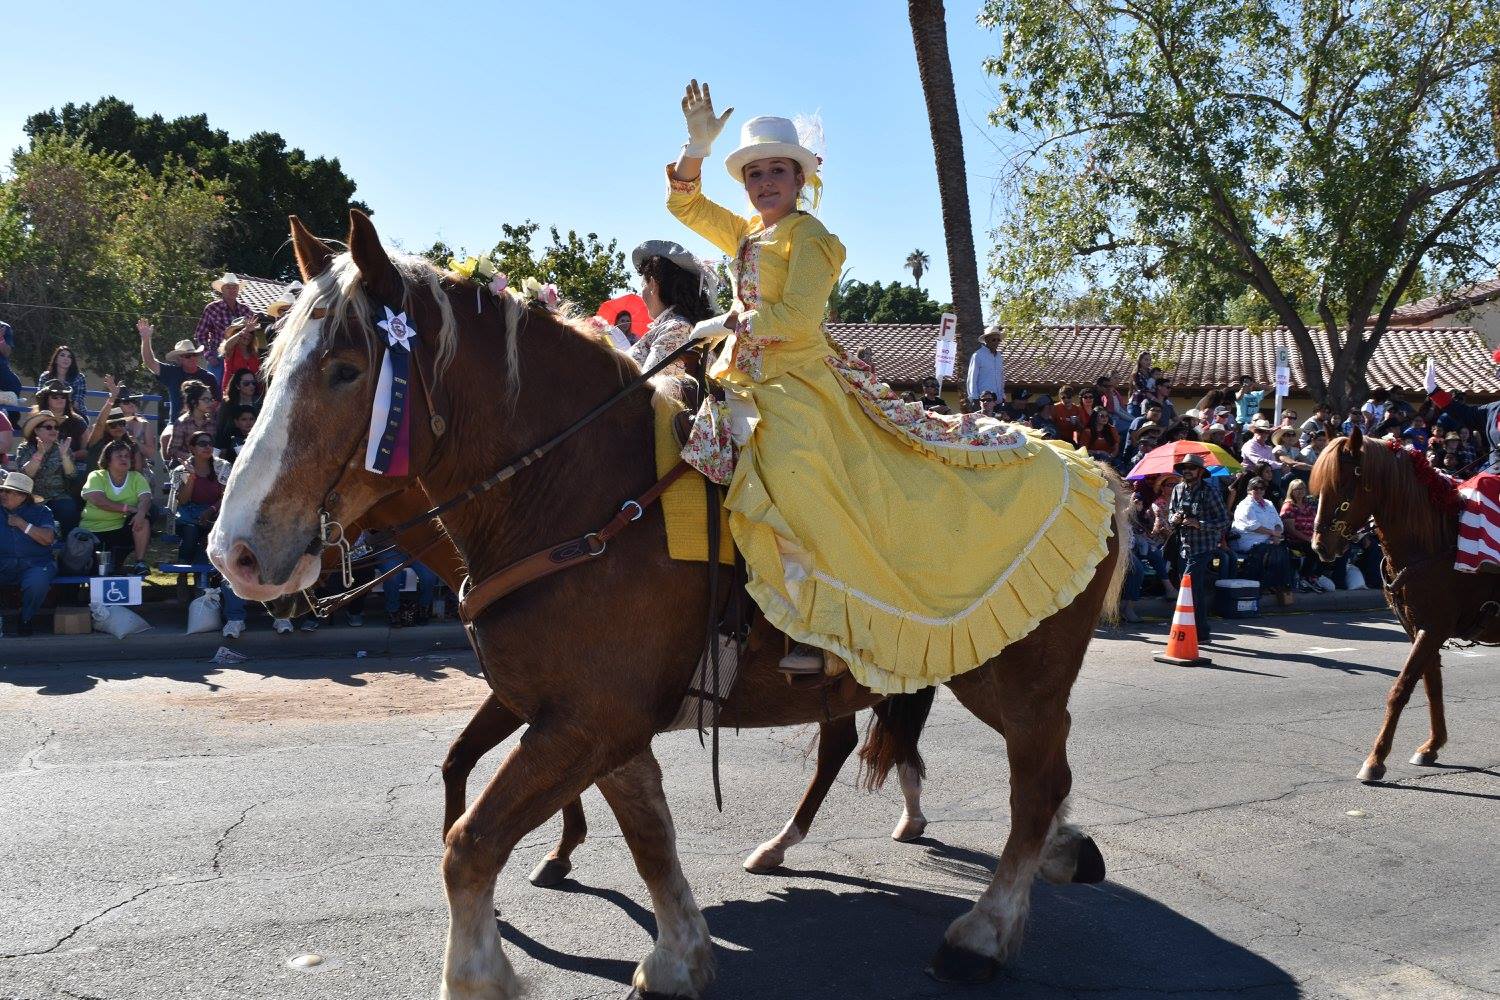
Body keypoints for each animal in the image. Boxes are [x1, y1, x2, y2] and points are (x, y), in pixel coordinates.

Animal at [325, 485, 936, 881]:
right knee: (853, 741)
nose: (311, 591)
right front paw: (551, 848)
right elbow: (461, 758)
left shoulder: (578, 703)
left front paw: (560, 850)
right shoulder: (542, 700)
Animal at [1308, 425, 1494, 785]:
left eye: (1343, 484)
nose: (1321, 545)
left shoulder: (1434, 627)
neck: (1434, 542)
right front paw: (1432, 746)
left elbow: (1401, 688)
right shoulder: (1418, 627)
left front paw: (1375, 759)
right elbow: (1431, 685)